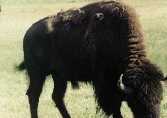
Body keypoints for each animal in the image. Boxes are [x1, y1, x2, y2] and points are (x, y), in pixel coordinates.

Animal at [17, 0, 166, 117]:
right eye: (137, 101)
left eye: (160, 98)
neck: (116, 34)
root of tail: (28, 33)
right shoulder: (105, 82)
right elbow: (114, 105)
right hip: (37, 75)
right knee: (34, 96)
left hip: (59, 76)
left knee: (57, 97)